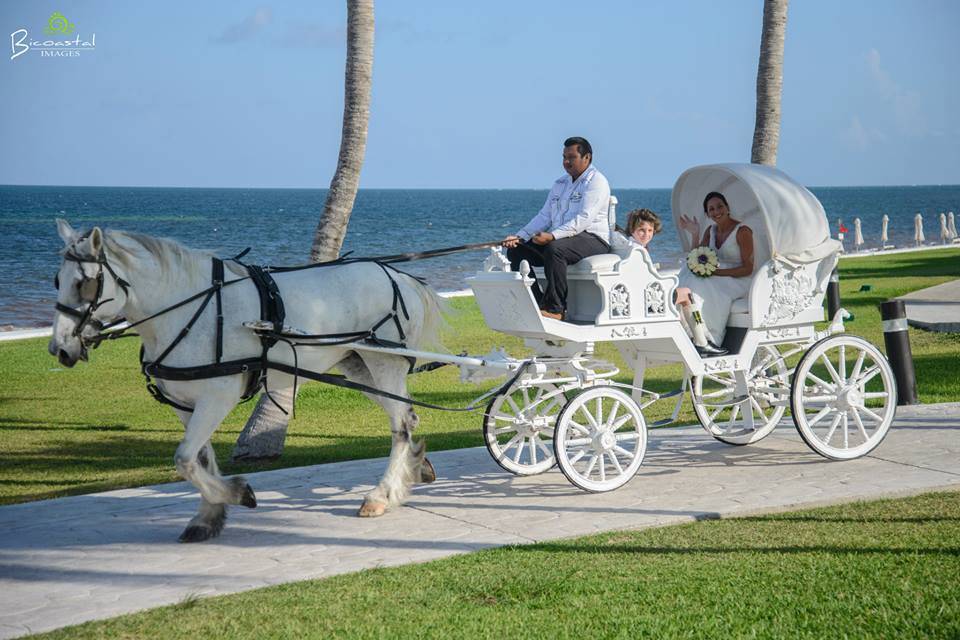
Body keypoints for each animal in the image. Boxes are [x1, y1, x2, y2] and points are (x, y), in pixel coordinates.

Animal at [49, 219, 446, 540]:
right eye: (56, 281)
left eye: (85, 284)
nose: (60, 348)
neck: (188, 309)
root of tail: (397, 276)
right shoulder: (184, 402)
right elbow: (199, 458)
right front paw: (208, 516)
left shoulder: (217, 395)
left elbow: (185, 459)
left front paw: (237, 493)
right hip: (358, 366)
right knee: (409, 415)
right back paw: (415, 466)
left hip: (383, 361)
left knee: (401, 423)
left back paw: (382, 494)